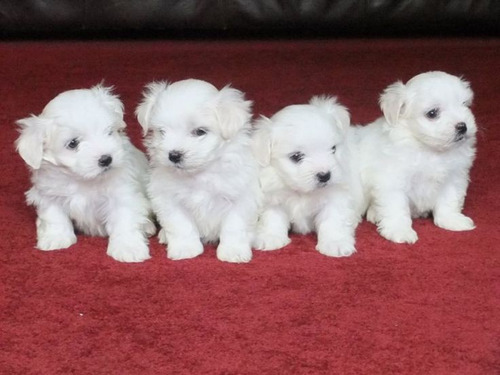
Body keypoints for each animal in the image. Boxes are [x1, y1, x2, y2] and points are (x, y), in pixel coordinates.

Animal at [15, 85, 154, 262]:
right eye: (73, 143)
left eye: (109, 132)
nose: (106, 159)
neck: (83, 179)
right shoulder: (49, 194)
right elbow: (54, 217)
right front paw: (56, 238)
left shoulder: (123, 194)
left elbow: (125, 220)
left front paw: (128, 248)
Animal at [137, 78, 260, 264]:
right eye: (162, 132)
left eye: (200, 132)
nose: (174, 155)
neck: (200, 173)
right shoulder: (169, 199)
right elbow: (181, 226)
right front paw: (185, 249)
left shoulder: (241, 198)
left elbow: (234, 227)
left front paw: (233, 252)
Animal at [252, 95, 362, 258]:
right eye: (296, 156)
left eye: (333, 149)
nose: (325, 175)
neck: (301, 191)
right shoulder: (273, 197)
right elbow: (272, 217)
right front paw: (270, 237)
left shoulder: (335, 197)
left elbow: (333, 220)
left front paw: (335, 243)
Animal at [358, 71, 478, 245]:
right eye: (432, 113)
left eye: (465, 104)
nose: (462, 126)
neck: (429, 149)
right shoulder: (393, 181)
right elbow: (396, 207)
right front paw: (400, 231)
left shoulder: (453, 177)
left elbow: (449, 200)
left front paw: (452, 220)